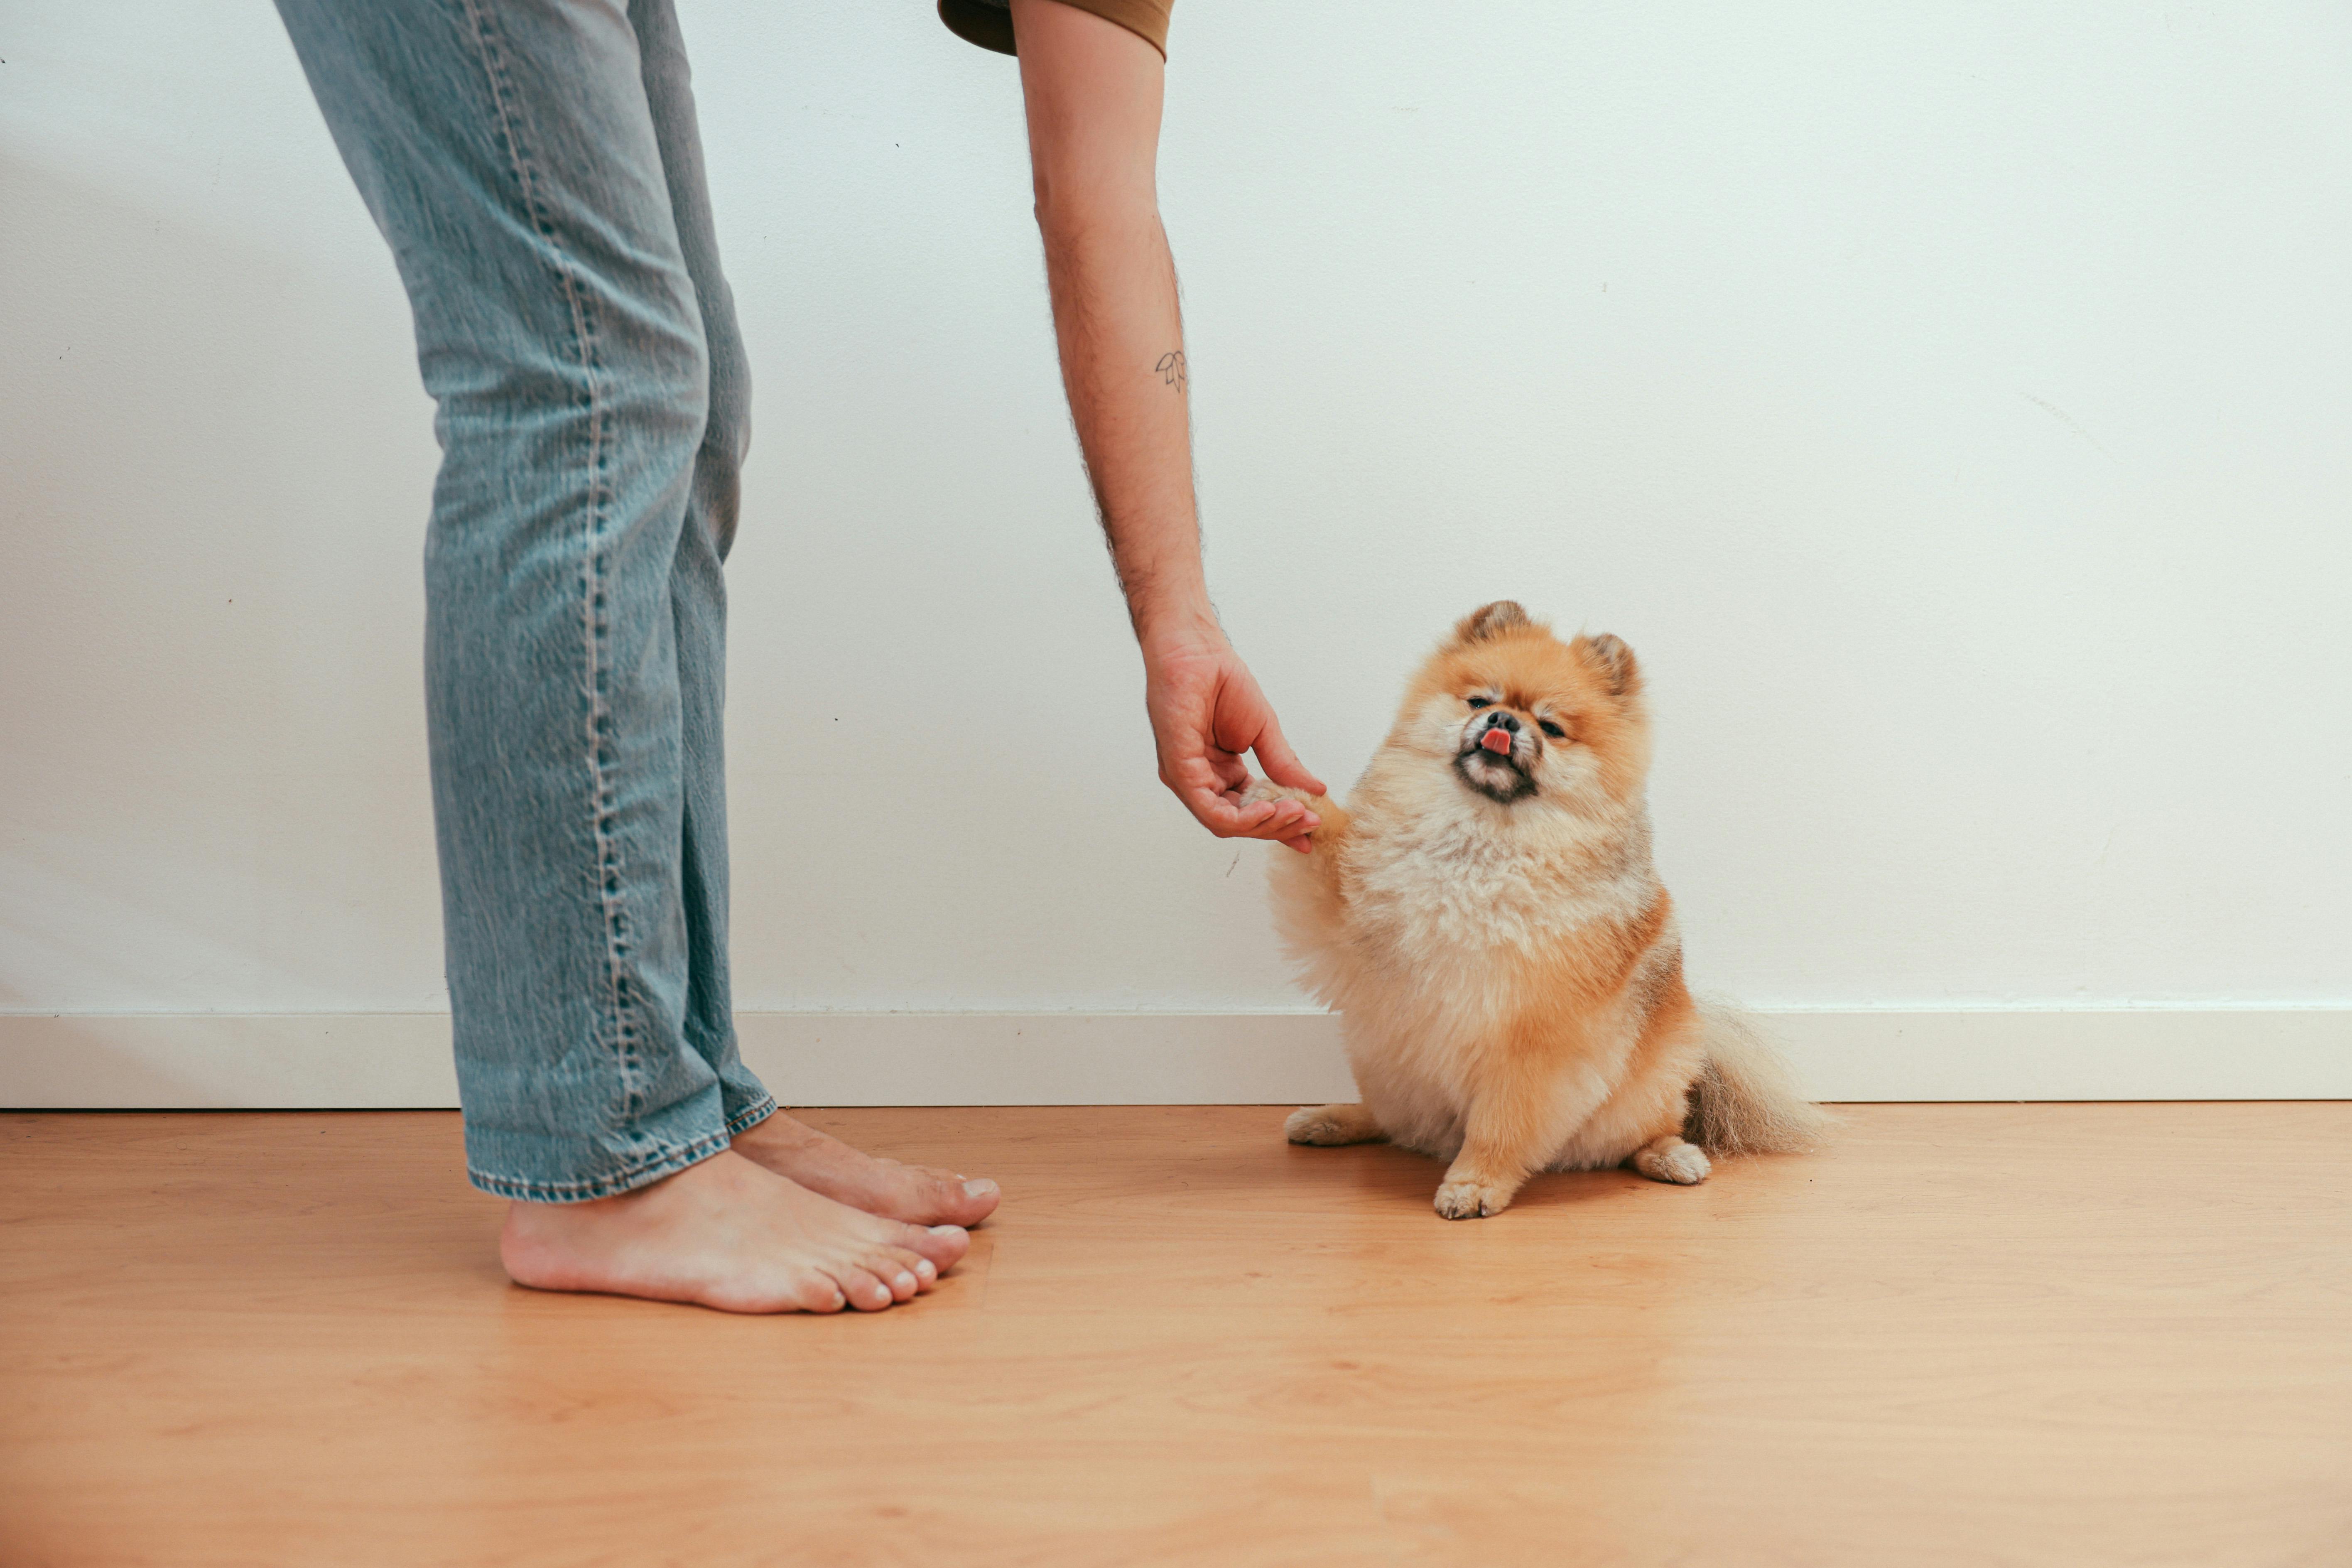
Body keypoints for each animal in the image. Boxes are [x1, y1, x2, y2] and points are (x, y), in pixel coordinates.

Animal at [1242, 606, 1825, 1222]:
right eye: (1478, 700)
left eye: (1550, 727)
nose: (1502, 720)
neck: (1479, 842)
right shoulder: (1350, 915)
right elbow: (1327, 845)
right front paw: (1286, 800)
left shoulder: (1535, 1037)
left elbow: (1500, 1124)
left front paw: (1474, 1183)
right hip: (1385, 1062)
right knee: (1392, 1120)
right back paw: (1331, 1119)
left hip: (1655, 1079)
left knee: (1649, 1129)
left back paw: (1671, 1156)